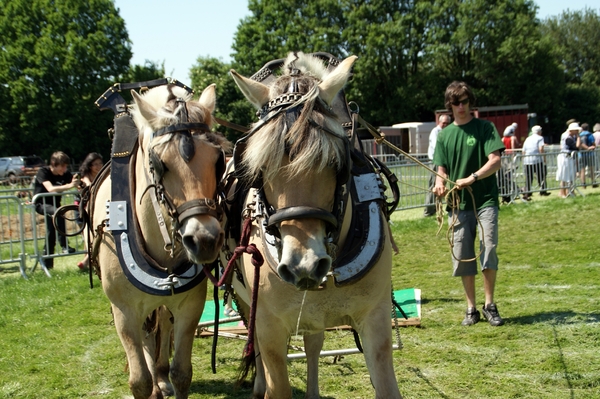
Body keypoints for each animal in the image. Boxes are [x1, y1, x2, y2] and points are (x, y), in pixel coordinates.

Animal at [88, 82, 230, 399]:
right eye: (160, 163)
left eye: (218, 160)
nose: (204, 240)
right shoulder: (124, 312)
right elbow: (139, 381)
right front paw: (148, 383)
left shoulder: (190, 305)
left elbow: (182, 373)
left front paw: (168, 377)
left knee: (162, 323)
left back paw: (161, 376)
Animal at [225, 51, 404, 398]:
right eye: (258, 168)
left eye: (337, 162)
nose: (303, 265)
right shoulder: (269, 325)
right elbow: (275, 380)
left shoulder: (375, 319)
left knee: (313, 342)